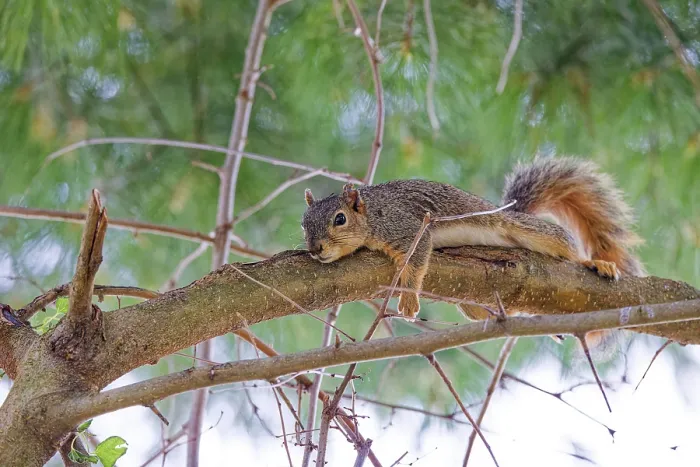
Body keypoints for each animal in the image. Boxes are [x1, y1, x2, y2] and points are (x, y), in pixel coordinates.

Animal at [301, 157, 644, 319]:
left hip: (522, 229)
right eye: (303, 224)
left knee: (568, 247)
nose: (315, 249)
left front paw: (409, 301)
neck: (372, 214)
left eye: (340, 219)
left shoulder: (406, 228)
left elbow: (416, 261)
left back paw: (596, 263)